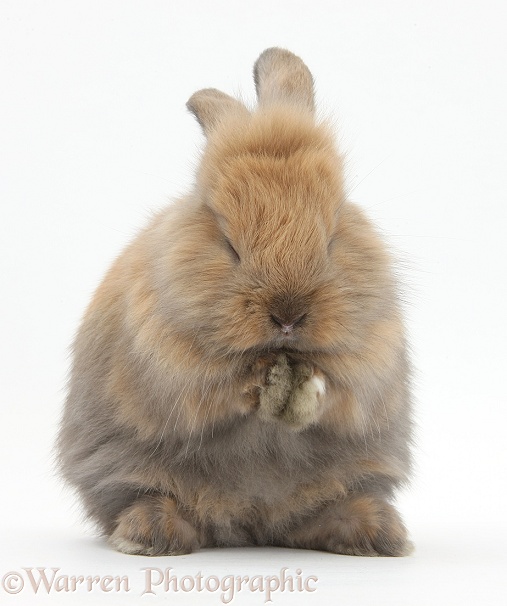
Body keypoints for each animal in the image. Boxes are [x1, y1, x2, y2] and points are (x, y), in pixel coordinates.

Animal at [58, 47, 412, 560]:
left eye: (331, 237)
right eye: (229, 244)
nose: (288, 317)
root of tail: (253, 525)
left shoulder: (372, 362)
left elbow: (340, 393)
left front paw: (301, 390)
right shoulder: (172, 370)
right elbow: (217, 392)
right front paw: (267, 385)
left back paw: (377, 533)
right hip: (123, 468)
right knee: (151, 498)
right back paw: (150, 534)